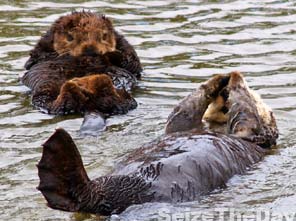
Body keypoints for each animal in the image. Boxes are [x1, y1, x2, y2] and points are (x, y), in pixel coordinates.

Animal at [36, 71, 278, 215]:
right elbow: (181, 116)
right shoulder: (185, 126)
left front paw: (235, 83)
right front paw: (219, 80)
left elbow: (246, 113)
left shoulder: (251, 132)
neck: (216, 128)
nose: (224, 94)